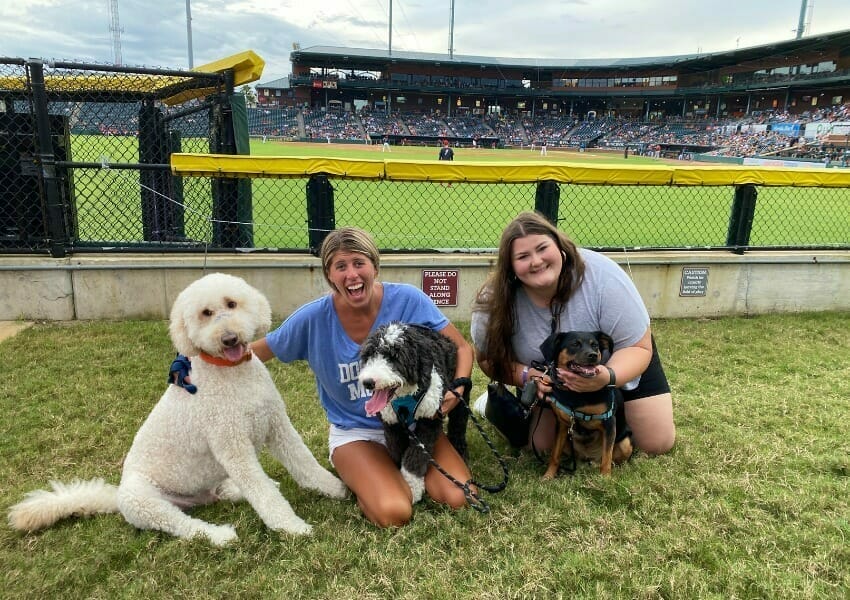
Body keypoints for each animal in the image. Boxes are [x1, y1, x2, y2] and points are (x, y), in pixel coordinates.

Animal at [6, 274, 344, 548]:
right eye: (205, 314)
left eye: (231, 303)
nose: (229, 338)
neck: (232, 374)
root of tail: (117, 495)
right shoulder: (233, 446)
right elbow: (262, 492)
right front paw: (290, 527)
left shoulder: (277, 425)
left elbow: (304, 461)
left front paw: (334, 487)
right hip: (146, 502)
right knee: (184, 526)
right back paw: (219, 535)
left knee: (221, 492)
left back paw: (234, 491)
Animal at [354, 324, 468, 502]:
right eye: (369, 355)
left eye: (394, 357)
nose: (368, 382)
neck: (405, 396)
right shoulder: (392, 423)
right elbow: (397, 450)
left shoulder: (429, 420)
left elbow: (416, 455)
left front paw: (413, 487)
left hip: (458, 395)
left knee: (459, 423)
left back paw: (461, 450)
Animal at [536, 330, 628, 480]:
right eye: (575, 344)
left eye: (595, 345)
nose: (593, 355)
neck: (577, 394)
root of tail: (589, 457)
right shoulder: (562, 425)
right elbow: (555, 455)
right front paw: (548, 475)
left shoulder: (609, 423)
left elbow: (607, 458)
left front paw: (606, 479)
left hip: (626, 443)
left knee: (611, 458)